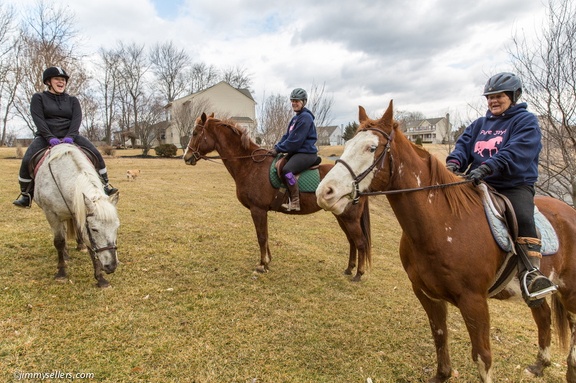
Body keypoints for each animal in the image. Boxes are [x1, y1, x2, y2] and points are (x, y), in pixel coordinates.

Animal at [184, 112, 374, 280]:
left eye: (195, 133)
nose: (186, 157)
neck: (250, 164)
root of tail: (357, 179)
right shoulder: (262, 211)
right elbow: (265, 236)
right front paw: (267, 262)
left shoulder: (258, 210)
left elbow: (261, 237)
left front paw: (262, 265)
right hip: (341, 216)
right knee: (352, 241)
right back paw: (349, 269)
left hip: (349, 218)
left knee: (360, 242)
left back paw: (359, 274)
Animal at [316, 100, 576, 382]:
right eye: (348, 144)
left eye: (371, 148)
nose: (325, 192)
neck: (443, 224)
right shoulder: (427, 294)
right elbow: (440, 335)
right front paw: (442, 374)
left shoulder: (474, 302)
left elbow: (483, 357)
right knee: (544, 316)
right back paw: (540, 364)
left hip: (570, 291)